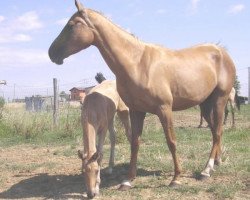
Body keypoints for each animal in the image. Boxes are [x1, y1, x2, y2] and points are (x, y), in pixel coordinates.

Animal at [47, 0, 235, 197]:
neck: (138, 63)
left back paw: (206, 169)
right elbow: (135, 143)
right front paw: (128, 180)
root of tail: (221, 51)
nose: (51, 52)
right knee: (215, 130)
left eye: (71, 25)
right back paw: (217, 161)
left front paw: (176, 178)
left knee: (218, 131)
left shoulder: (164, 109)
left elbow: (171, 142)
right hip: (205, 105)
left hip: (220, 100)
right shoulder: (136, 110)